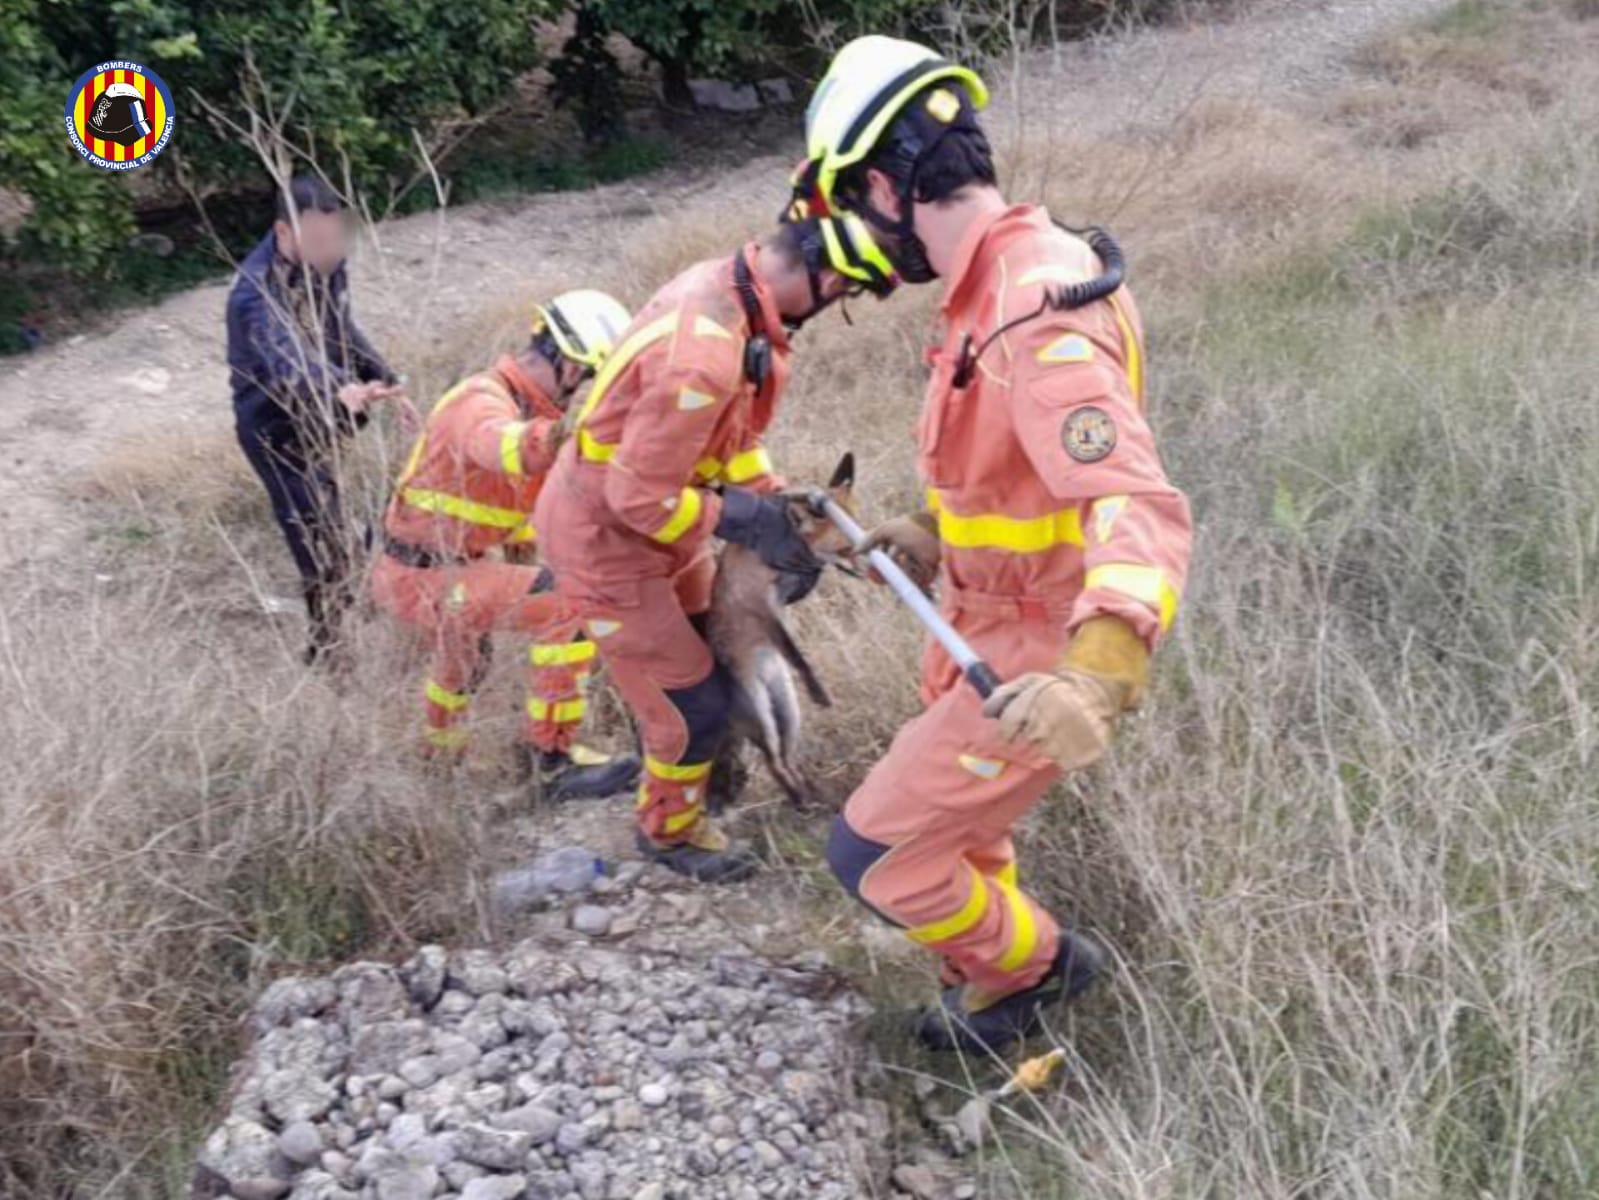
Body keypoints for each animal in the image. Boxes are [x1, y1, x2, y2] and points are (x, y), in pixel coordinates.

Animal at [706, 452, 858, 810]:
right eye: (846, 548)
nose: (874, 555)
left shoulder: (782, 602)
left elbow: (793, 648)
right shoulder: (762, 608)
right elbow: (795, 653)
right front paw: (818, 690)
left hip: (788, 715)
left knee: (786, 761)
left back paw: (811, 794)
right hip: (764, 720)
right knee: (773, 764)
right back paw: (799, 801)